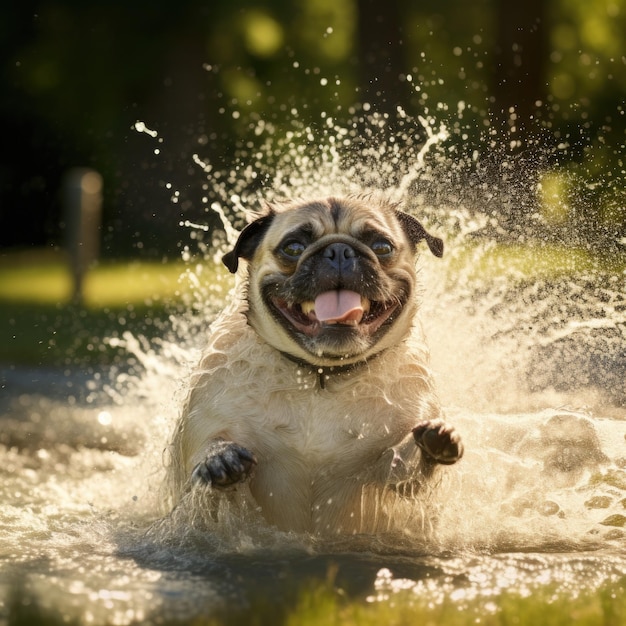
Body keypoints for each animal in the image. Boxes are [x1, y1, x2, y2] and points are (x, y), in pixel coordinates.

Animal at [165, 195, 458, 532]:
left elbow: (407, 471)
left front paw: (433, 444)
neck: (321, 378)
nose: (339, 251)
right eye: (293, 247)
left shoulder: (397, 470)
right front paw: (219, 459)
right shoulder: (199, 451)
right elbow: (208, 462)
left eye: (382, 246)